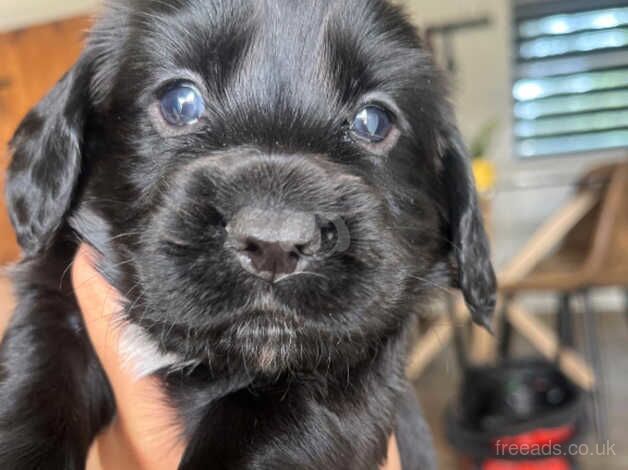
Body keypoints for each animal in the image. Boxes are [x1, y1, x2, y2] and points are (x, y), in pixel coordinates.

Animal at [0, 0, 496, 468]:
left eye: (373, 122)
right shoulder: (55, 305)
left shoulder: (347, 372)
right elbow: (33, 382)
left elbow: (273, 433)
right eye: (180, 102)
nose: (274, 245)